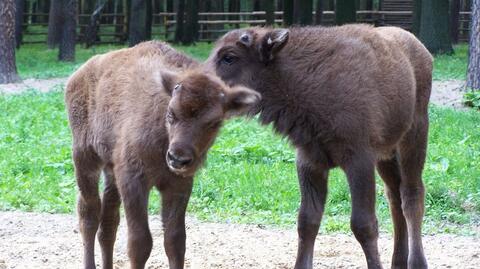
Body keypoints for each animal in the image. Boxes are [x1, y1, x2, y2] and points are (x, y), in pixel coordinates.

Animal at [65, 40, 260, 266]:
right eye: (171, 113)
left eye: (214, 123)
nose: (178, 158)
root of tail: (78, 75)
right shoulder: (133, 181)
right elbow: (140, 242)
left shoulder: (178, 185)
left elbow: (175, 241)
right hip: (85, 159)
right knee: (89, 216)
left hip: (110, 171)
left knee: (108, 225)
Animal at [208, 24, 434, 266]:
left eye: (229, 57)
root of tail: (422, 51)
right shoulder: (310, 162)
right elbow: (307, 221)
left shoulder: (359, 161)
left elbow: (363, 224)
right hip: (386, 155)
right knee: (394, 197)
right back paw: (398, 261)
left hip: (414, 138)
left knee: (411, 196)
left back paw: (417, 262)